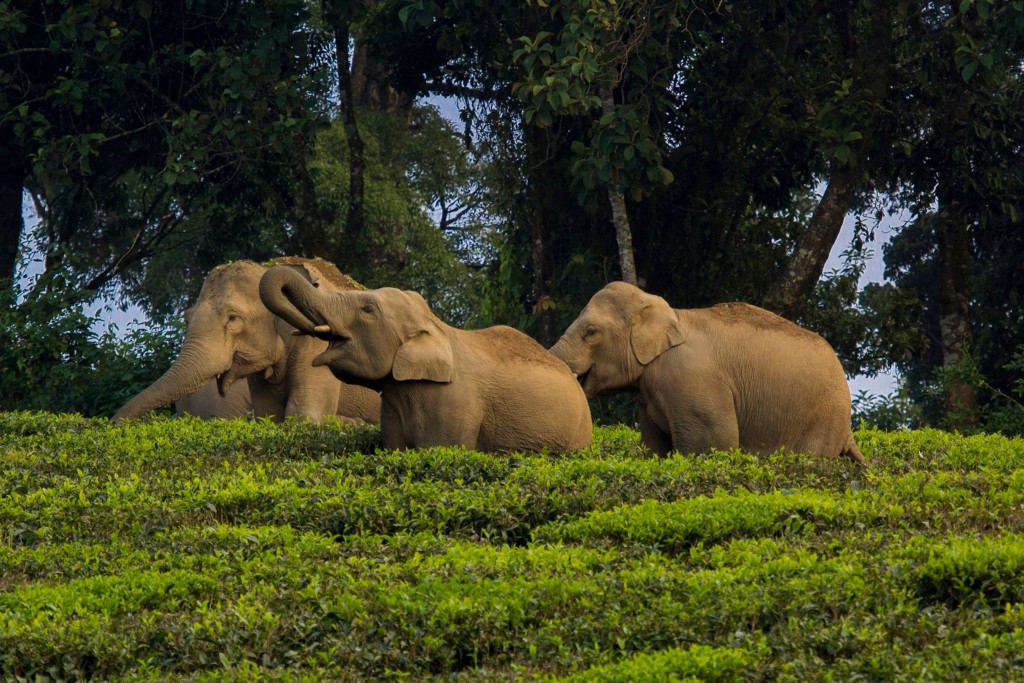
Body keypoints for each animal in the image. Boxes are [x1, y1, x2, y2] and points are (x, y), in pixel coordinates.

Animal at [112, 259, 382, 423]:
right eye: (187, 317)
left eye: (233, 318)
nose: (115, 425)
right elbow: (270, 417)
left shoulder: (317, 347)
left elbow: (303, 416)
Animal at [258, 266, 593, 454]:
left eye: (367, 310)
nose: (314, 281)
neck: (435, 325)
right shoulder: (393, 403)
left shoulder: (454, 404)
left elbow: (439, 452)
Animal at [552, 278, 864, 464]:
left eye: (590, 332)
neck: (670, 314)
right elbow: (654, 446)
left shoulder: (689, 381)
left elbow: (713, 442)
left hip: (822, 422)